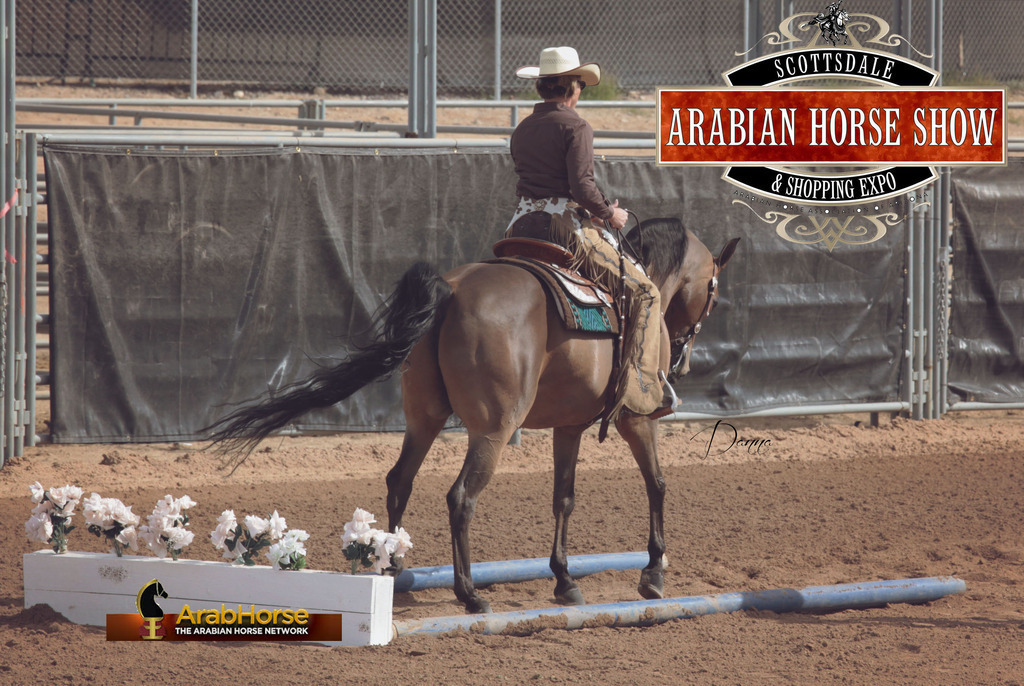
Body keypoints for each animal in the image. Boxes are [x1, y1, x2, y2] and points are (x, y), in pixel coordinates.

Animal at [206, 218, 739, 614]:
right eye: (714, 291)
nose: (682, 358)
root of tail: (453, 290)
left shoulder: (568, 426)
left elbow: (563, 498)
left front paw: (565, 579)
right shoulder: (637, 420)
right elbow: (658, 484)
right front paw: (653, 571)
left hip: (424, 418)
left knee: (400, 481)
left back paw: (391, 566)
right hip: (493, 430)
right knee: (461, 497)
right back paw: (470, 595)